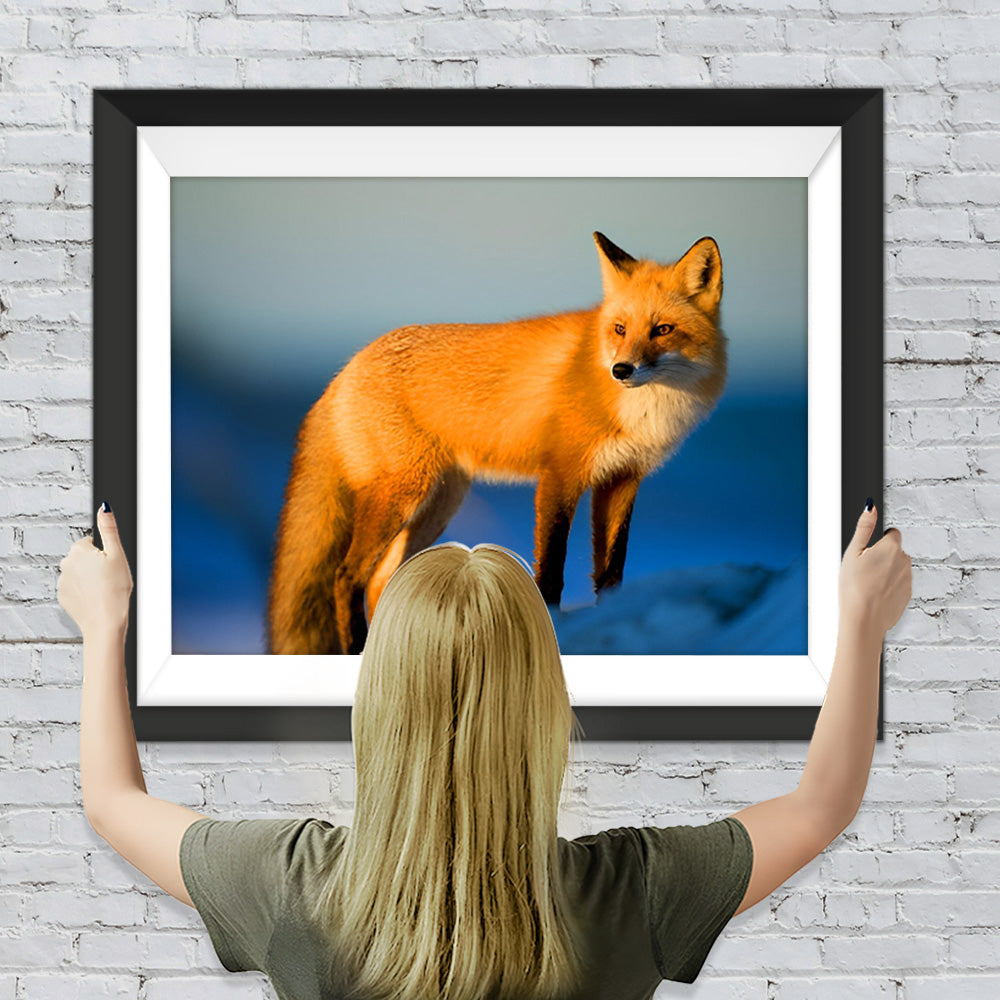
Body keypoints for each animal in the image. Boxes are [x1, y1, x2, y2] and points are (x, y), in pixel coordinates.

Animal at [266, 232, 727, 655]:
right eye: (620, 329)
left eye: (663, 330)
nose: (621, 370)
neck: (643, 410)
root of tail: (345, 369)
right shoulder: (560, 475)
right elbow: (552, 569)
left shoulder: (622, 479)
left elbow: (612, 572)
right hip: (401, 496)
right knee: (346, 577)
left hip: (437, 505)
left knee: (383, 580)